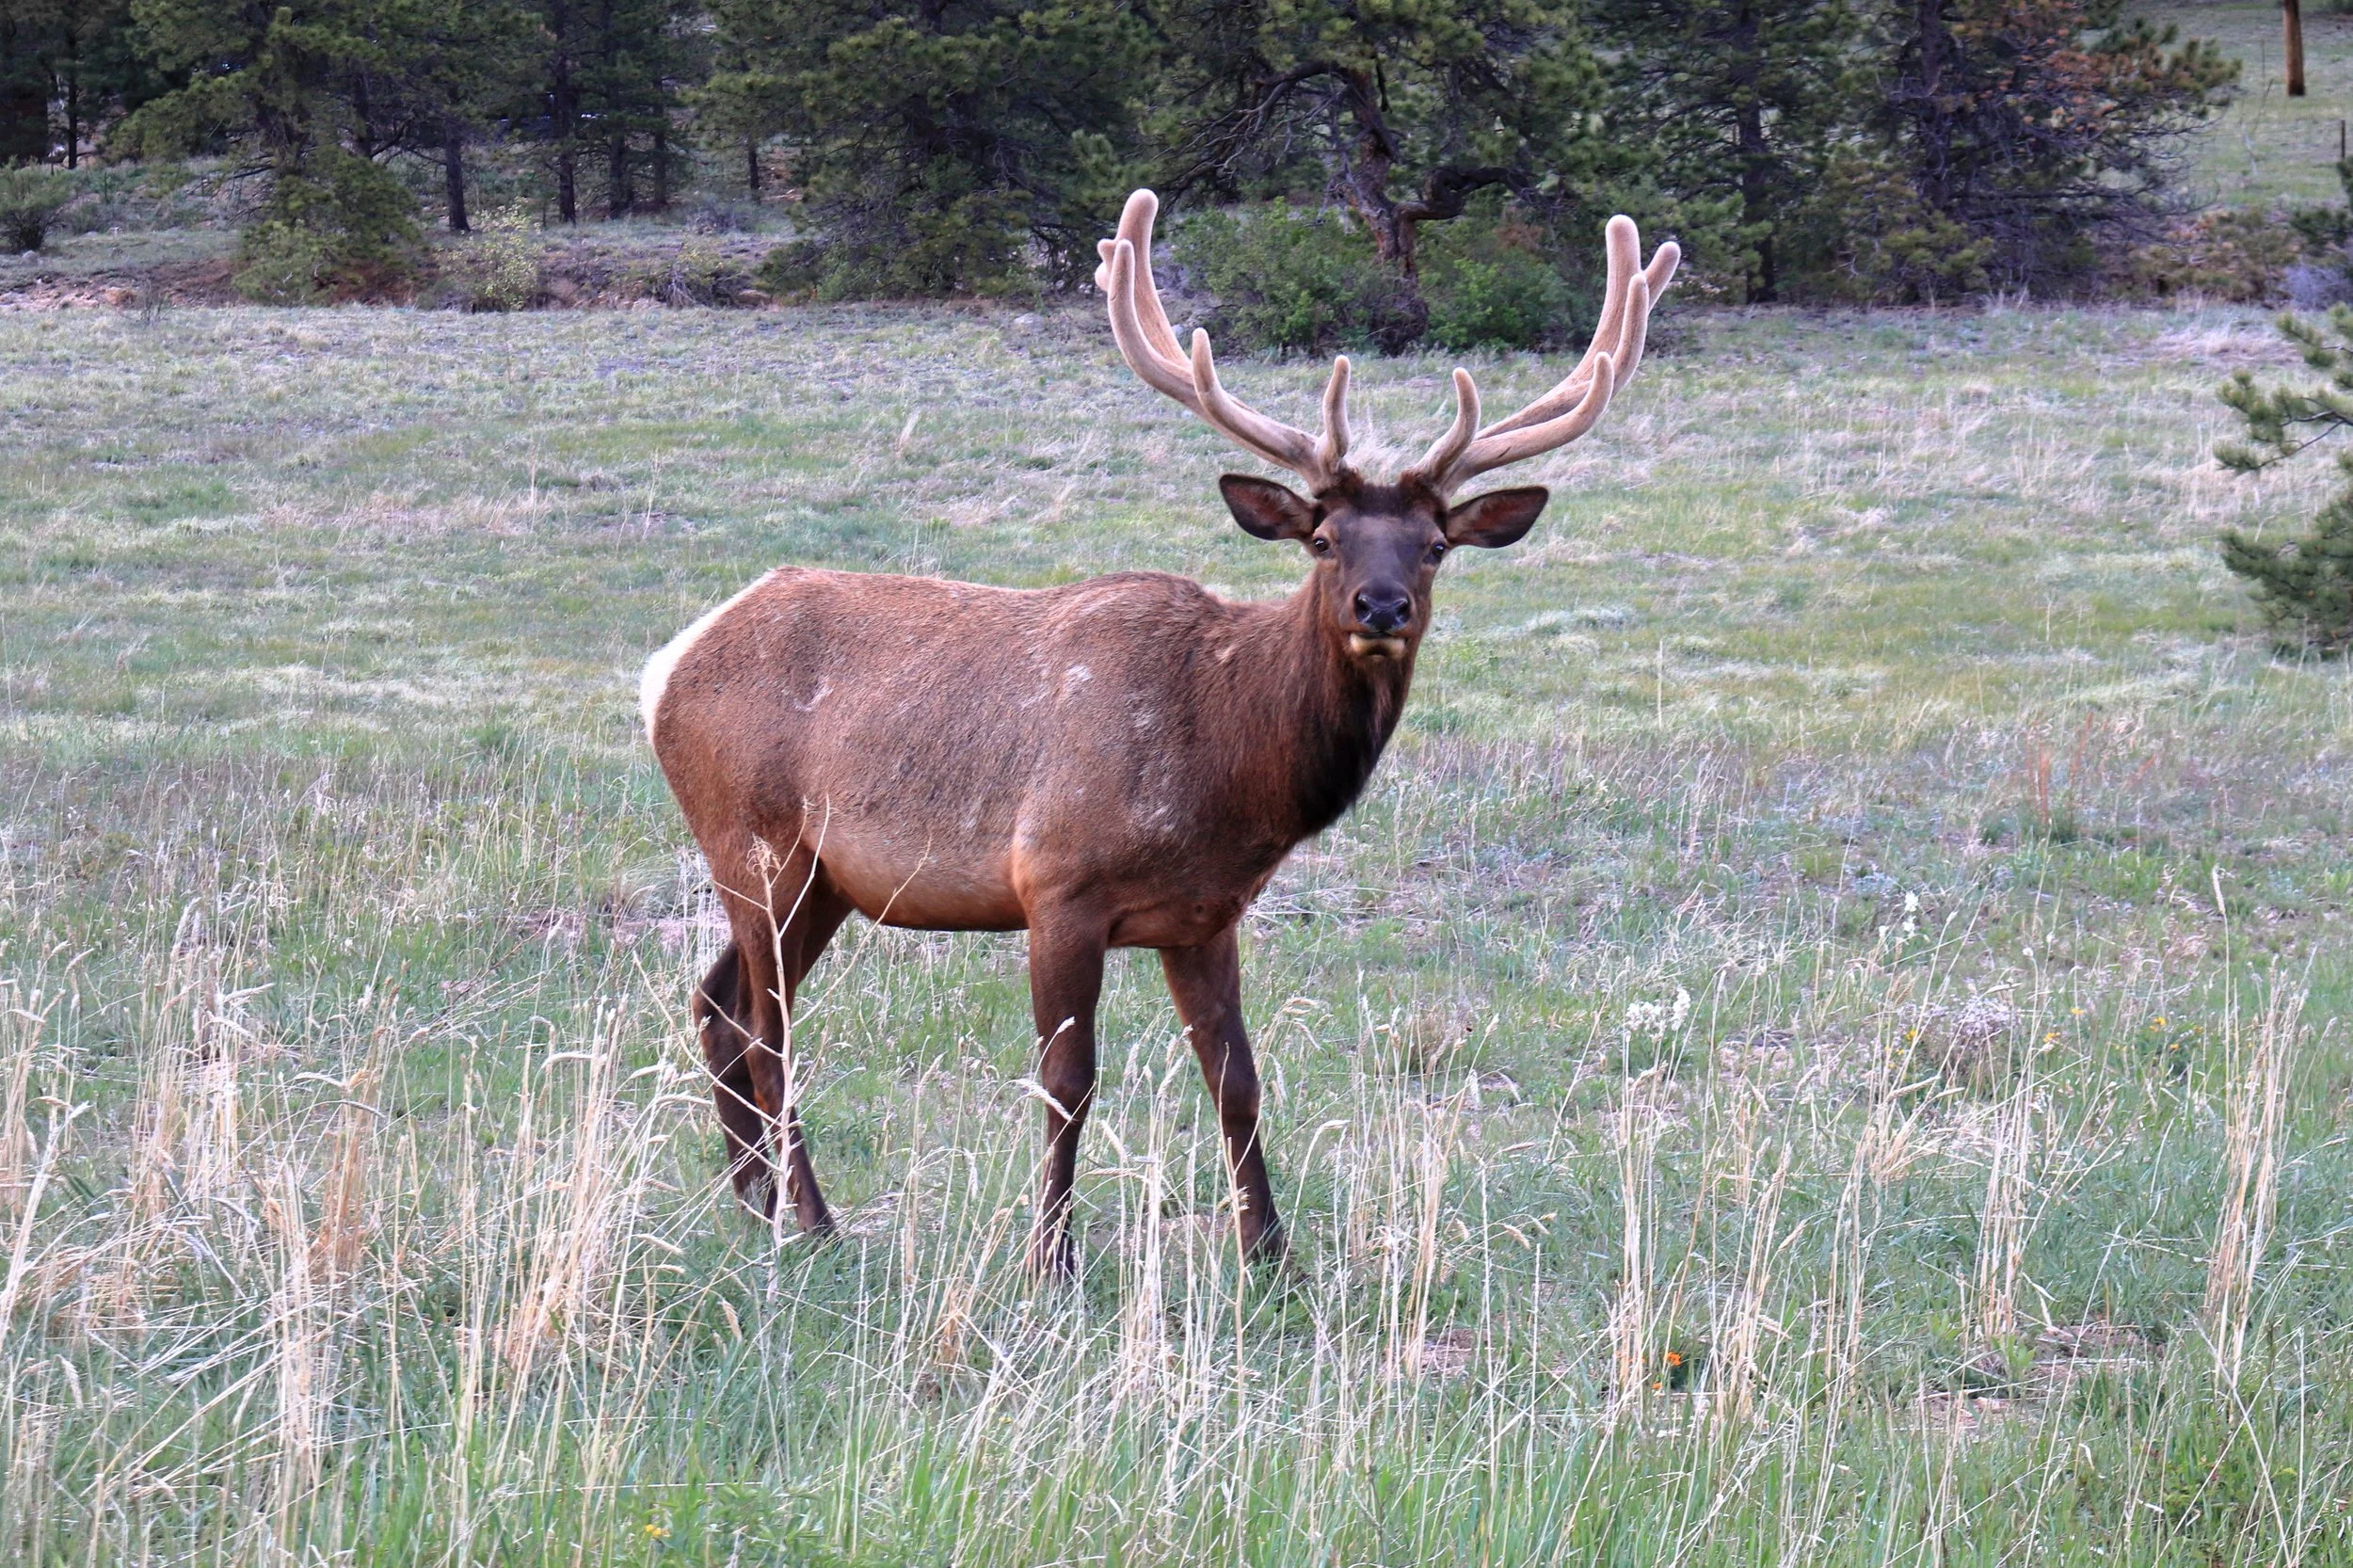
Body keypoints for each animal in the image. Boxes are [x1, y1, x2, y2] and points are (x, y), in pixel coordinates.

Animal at [642, 189, 1677, 1276]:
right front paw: (1050, 1258)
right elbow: (1068, 1079)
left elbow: (1237, 1077)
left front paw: (1270, 1253)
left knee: (717, 1004)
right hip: (754, 840)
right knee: (767, 1030)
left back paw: (753, 1202)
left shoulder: (1206, 914)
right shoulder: (1056, 880)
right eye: (1322, 539)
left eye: (1435, 545)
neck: (1227, 768)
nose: (1382, 605)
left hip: (823, 879)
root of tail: (664, 666)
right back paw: (813, 1219)